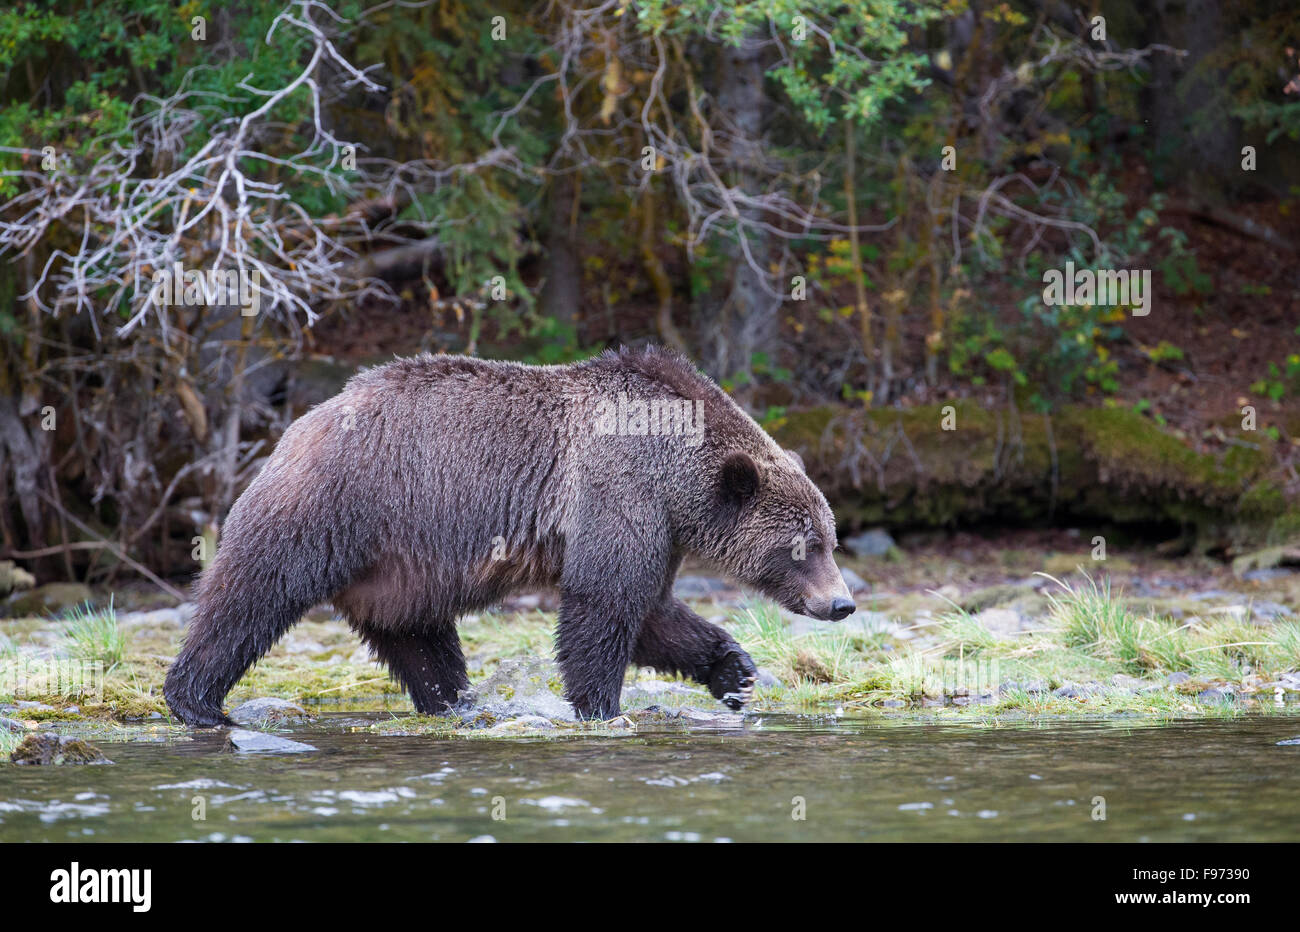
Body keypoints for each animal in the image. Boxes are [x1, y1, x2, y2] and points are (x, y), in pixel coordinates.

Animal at [165, 345, 852, 722]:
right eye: (804, 546)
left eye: (829, 537)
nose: (841, 603)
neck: (676, 471)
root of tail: (298, 424)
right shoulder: (617, 495)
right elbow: (604, 607)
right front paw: (601, 706)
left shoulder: (659, 531)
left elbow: (654, 614)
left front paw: (734, 670)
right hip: (336, 507)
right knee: (251, 595)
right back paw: (195, 700)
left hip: (397, 566)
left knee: (417, 636)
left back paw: (454, 702)